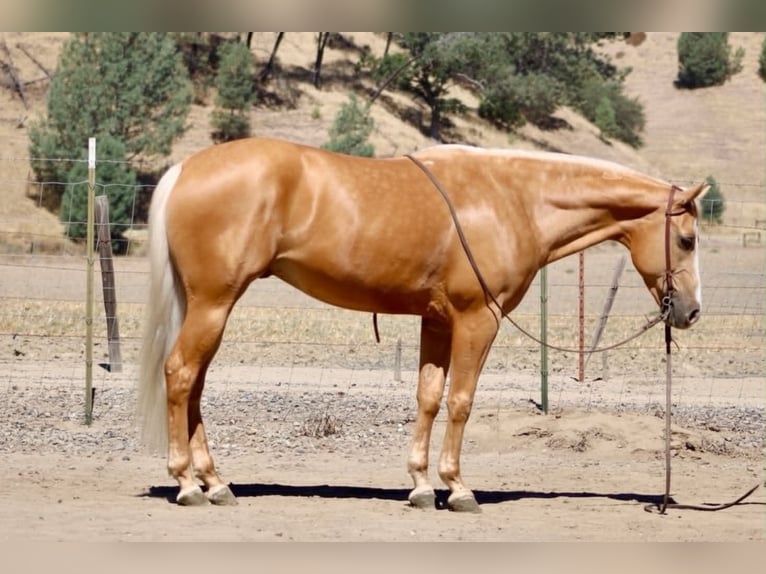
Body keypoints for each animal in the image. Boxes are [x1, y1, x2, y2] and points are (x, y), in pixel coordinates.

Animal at [137, 136, 706, 512]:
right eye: (688, 239)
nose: (691, 311)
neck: (512, 199)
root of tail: (185, 168)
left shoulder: (436, 323)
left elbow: (429, 398)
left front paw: (421, 485)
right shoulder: (478, 321)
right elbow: (461, 402)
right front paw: (458, 488)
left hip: (208, 307)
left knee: (194, 385)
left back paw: (215, 483)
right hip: (214, 304)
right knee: (181, 375)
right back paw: (187, 484)